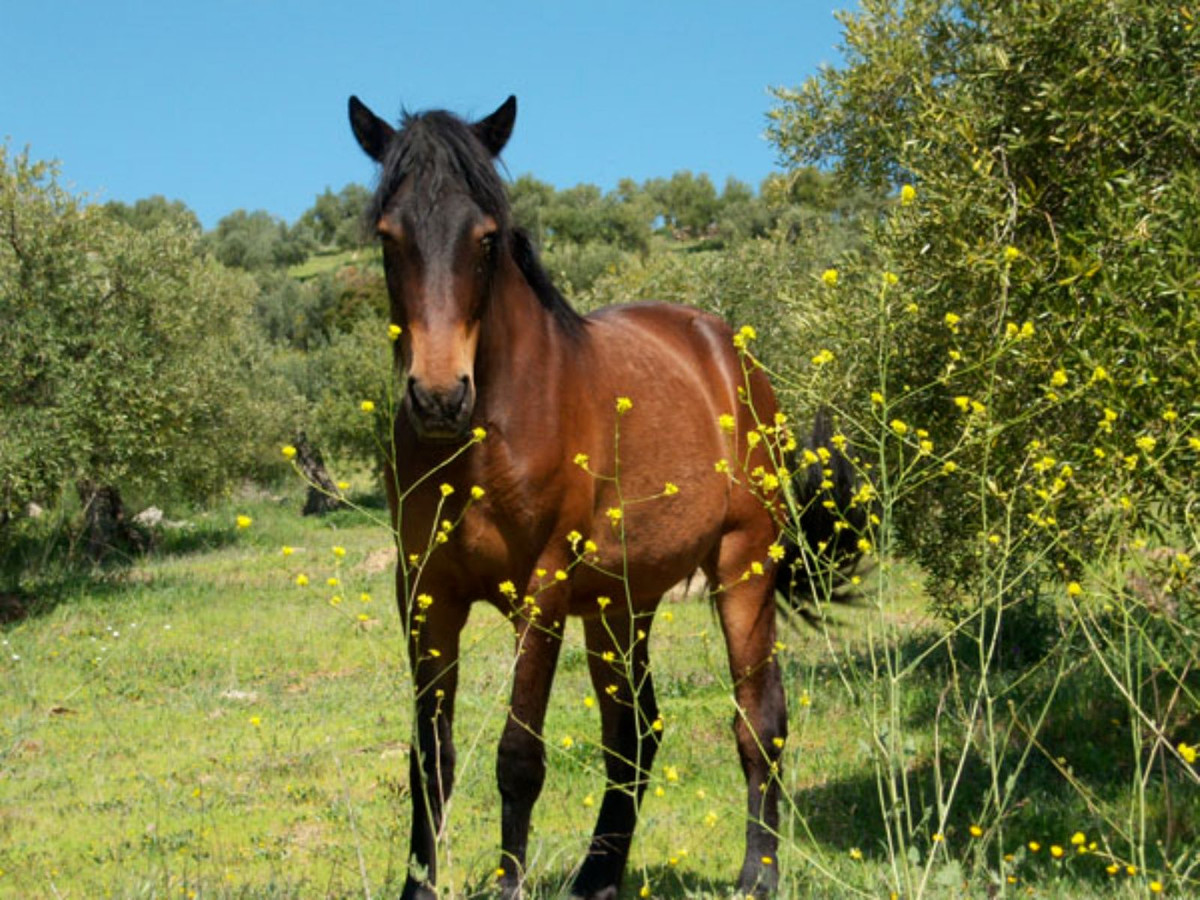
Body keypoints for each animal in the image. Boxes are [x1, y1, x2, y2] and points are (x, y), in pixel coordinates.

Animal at [348, 95, 864, 897]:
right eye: (388, 236)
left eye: (485, 239)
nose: (437, 398)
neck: (493, 426)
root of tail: (730, 354)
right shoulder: (425, 595)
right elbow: (430, 760)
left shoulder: (541, 593)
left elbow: (518, 757)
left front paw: (509, 884)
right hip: (621, 606)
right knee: (635, 732)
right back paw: (599, 873)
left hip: (742, 570)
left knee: (759, 719)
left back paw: (758, 873)